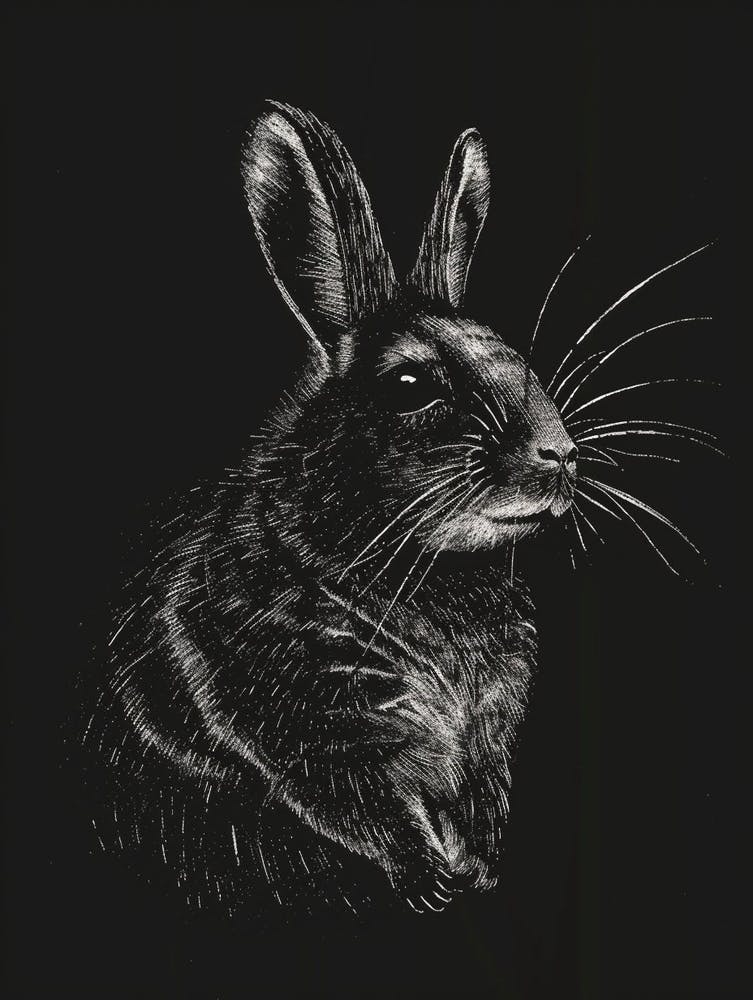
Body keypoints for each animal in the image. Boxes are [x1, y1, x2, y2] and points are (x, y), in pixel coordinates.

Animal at [82, 100, 588, 916]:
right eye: (412, 386)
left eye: (519, 361)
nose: (560, 453)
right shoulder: (307, 719)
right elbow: (363, 803)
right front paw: (432, 882)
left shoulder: (483, 732)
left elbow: (476, 790)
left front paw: (476, 868)